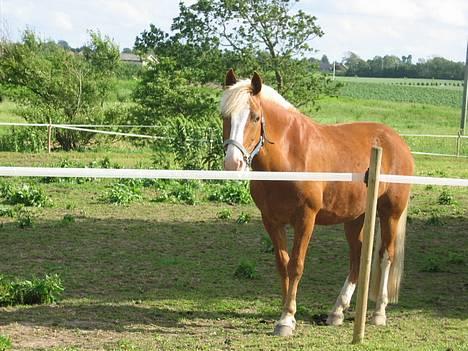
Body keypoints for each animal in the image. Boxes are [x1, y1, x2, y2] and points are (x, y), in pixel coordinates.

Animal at [220, 68, 414, 336]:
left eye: (255, 117)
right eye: (224, 116)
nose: (233, 163)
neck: (289, 157)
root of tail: (396, 140)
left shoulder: (306, 219)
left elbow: (296, 265)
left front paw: (286, 319)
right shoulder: (271, 221)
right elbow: (283, 264)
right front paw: (286, 312)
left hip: (390, 214)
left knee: (386, 256)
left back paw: (379, 313)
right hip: (355, 217)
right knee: (356, 257)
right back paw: (337, 311)